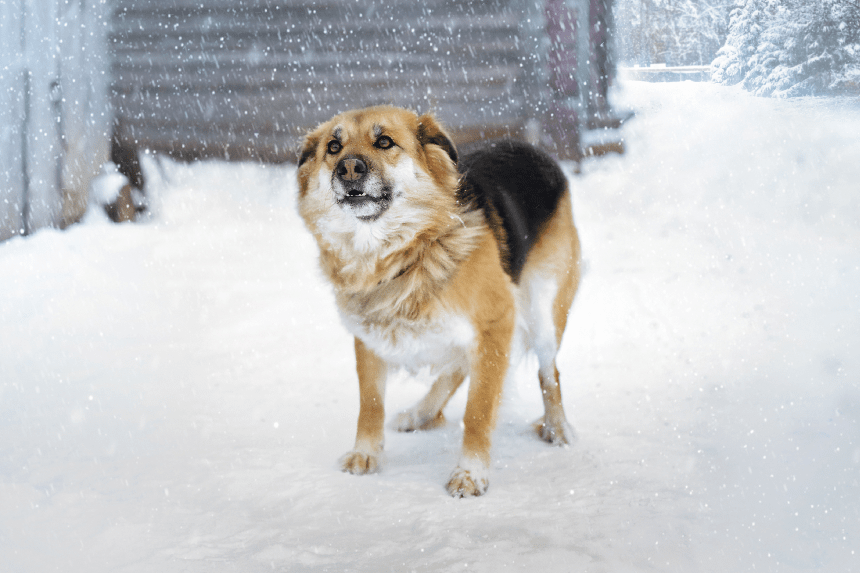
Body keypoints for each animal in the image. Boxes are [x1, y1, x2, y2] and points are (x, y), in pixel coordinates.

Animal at [298, 106, 584, 496]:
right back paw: (422, 412)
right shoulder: (368, 337)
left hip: (543, 313)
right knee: (460, 368)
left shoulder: (496, 322)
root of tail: (532, 149)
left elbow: (478, 410)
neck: (404, 253)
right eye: (333, 146)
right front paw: (365, 454)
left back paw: (557, 427)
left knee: (548, 372)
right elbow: (370, 403)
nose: (349, 168)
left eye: (384, 142)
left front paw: (470, 472)